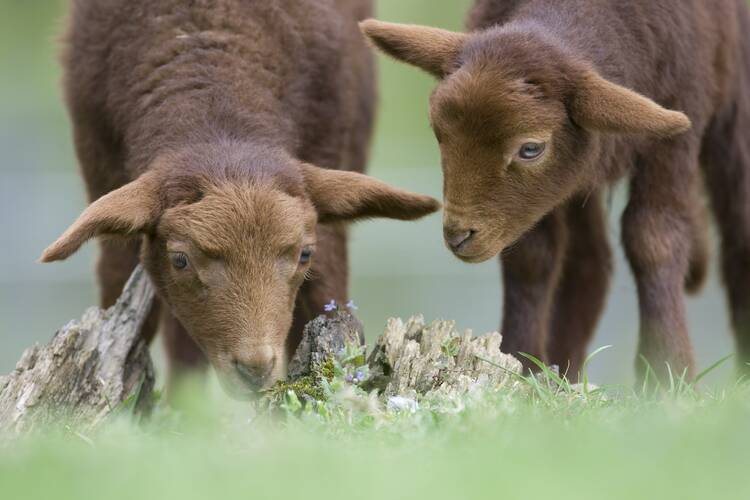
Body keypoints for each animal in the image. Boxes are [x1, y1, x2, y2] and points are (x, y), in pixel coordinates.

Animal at [41, 0, 440, 398]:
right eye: (180, 260)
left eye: (304, 254)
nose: (255, 369)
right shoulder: (99, 159)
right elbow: (121, 304)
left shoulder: (331, 144)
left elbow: (328, 297)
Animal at [362, 0, 748, 382]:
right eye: (437, 130)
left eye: (531, 149)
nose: (457, 236)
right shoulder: (539, 200)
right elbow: (532, 256)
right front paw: (519, 360)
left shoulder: (677, 128)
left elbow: (654, 239)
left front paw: (666, 372)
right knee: (588, 261)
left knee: (736, 234)